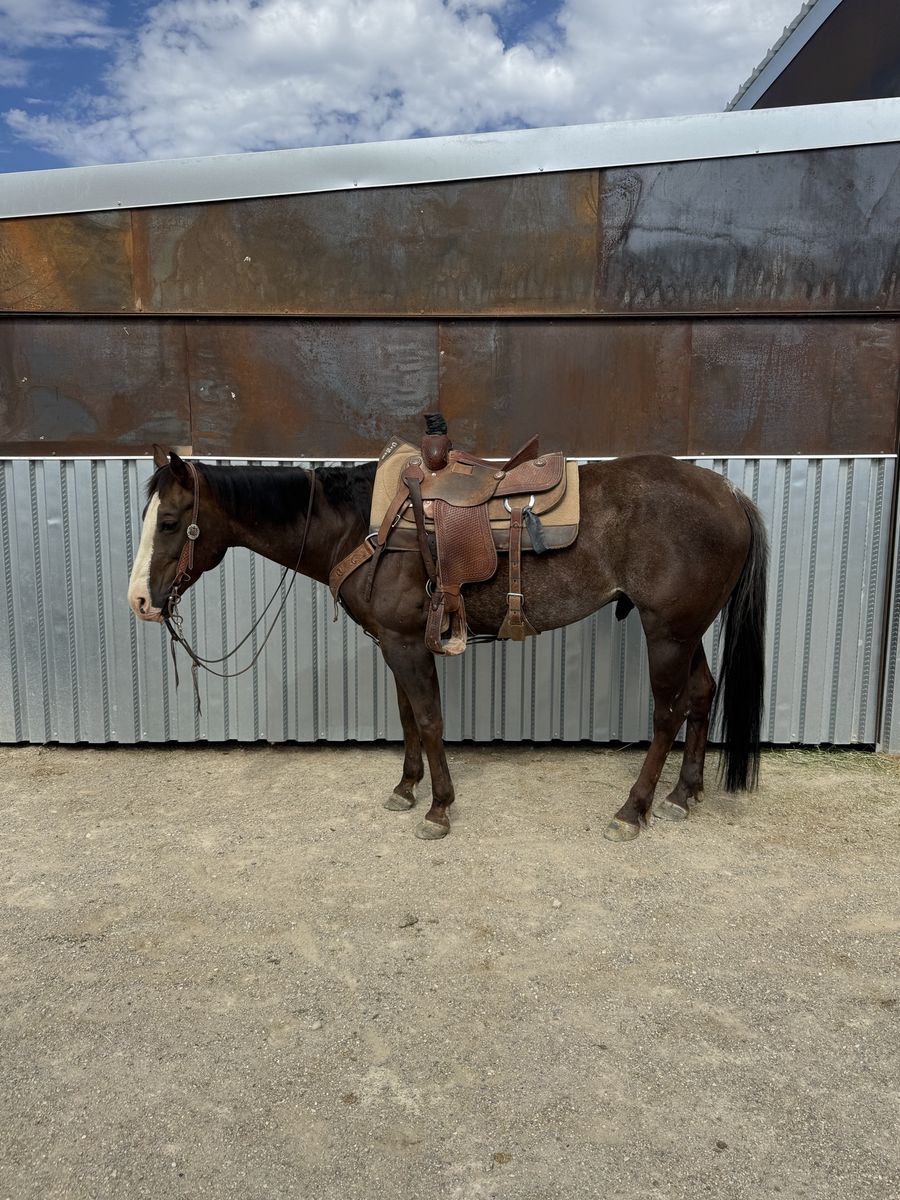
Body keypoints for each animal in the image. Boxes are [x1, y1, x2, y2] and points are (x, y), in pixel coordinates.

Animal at [128, 445, 767, 843]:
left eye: (170, 522)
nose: (139, 601)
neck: (361, 524)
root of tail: (730, 492)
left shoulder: (408, 643)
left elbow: (431, 719)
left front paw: (437, 808)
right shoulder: (394, 642)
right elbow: (409, 717)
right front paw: (406, 788)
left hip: (667, 631)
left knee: (667, 713)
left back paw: (632, 810)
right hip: (686, 630)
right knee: (702, 694)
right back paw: (684, 794)